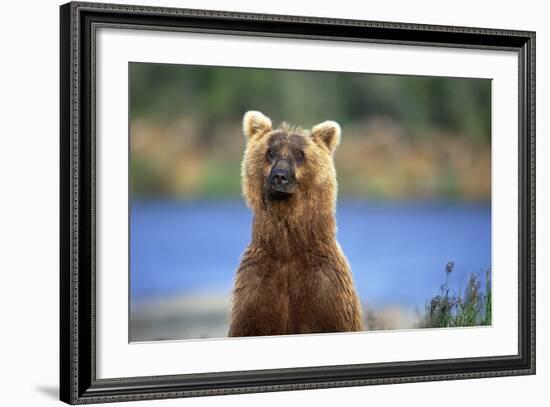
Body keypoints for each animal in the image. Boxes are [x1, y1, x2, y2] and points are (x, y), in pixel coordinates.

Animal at [230, 111, 366, 338]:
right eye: (270, 152)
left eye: (300, 155)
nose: (280, 177)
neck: (288, 249)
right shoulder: (256, 289)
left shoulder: (326, 291)